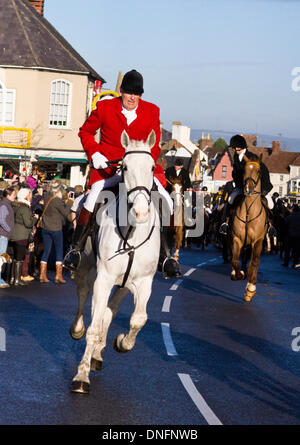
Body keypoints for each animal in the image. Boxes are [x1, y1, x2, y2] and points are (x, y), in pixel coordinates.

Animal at [70, 128, 161, 392]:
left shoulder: (144, 282)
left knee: (110, 312)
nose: (141, 212)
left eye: (152, 167)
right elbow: (93, 328)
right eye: (125, 167)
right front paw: (81, 376)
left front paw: (122, 343)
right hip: (86, 268)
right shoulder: (104, 278)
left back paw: (98, 354)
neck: (132, 231)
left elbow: (138, 319)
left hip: (123, 284)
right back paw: (77, 330)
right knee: (83, 296)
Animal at [230, 153, 268, 302]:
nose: (248, 189)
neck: (248, 212)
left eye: (258, 171)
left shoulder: (257, 241)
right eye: (244, 170)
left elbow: (255, 262)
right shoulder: (237, 239)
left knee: (253, 262)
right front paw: (238, 274)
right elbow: (235, 260)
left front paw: (250, 289)